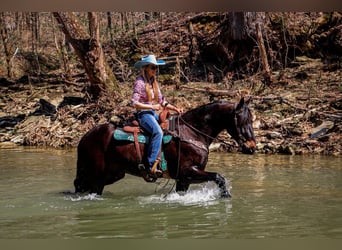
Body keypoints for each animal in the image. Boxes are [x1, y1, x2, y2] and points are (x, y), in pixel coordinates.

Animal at [75, 97, 256, 197]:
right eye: (243, 120)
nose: (252, 147)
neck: (192, 132)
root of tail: (85, 138)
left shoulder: (183, 179)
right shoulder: (187, 171)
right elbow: (219, 177)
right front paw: (225, 196)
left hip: (112, 175)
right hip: (97, 178)